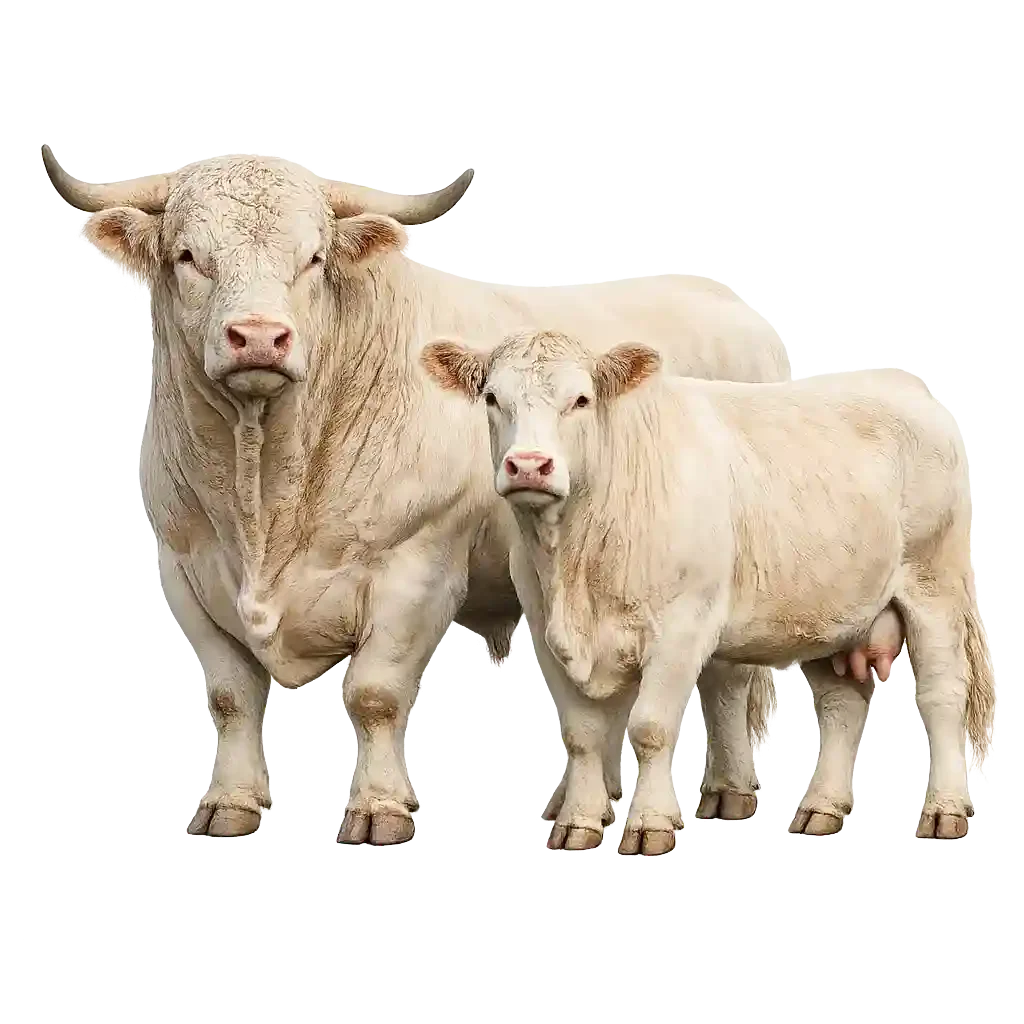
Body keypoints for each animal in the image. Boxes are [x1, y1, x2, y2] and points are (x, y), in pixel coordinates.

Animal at [42, 145, 905, 844]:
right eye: (190, 255)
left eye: (313, 258)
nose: (258, 338)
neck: (267, 487)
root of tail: (724, 297)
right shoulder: (185, 566)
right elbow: (228, 695)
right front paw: (230, 805)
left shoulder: (415, 566)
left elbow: (377, 696)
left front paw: (379, 810)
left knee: (727, 679)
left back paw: (727, 795)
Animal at [419, 329, 998, 850]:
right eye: (492, 398)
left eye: (580, 400)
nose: (529, 465)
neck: (576, 562)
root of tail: (898, 379)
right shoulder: (547, 629)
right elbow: (583, 734)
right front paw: (579, 824)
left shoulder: (682, 624)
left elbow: (650, 727)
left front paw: (650, 825)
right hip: (836, 610)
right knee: (840, 705)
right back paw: (820, 810)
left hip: (934, 587)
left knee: (942, 695)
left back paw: (945, 810)